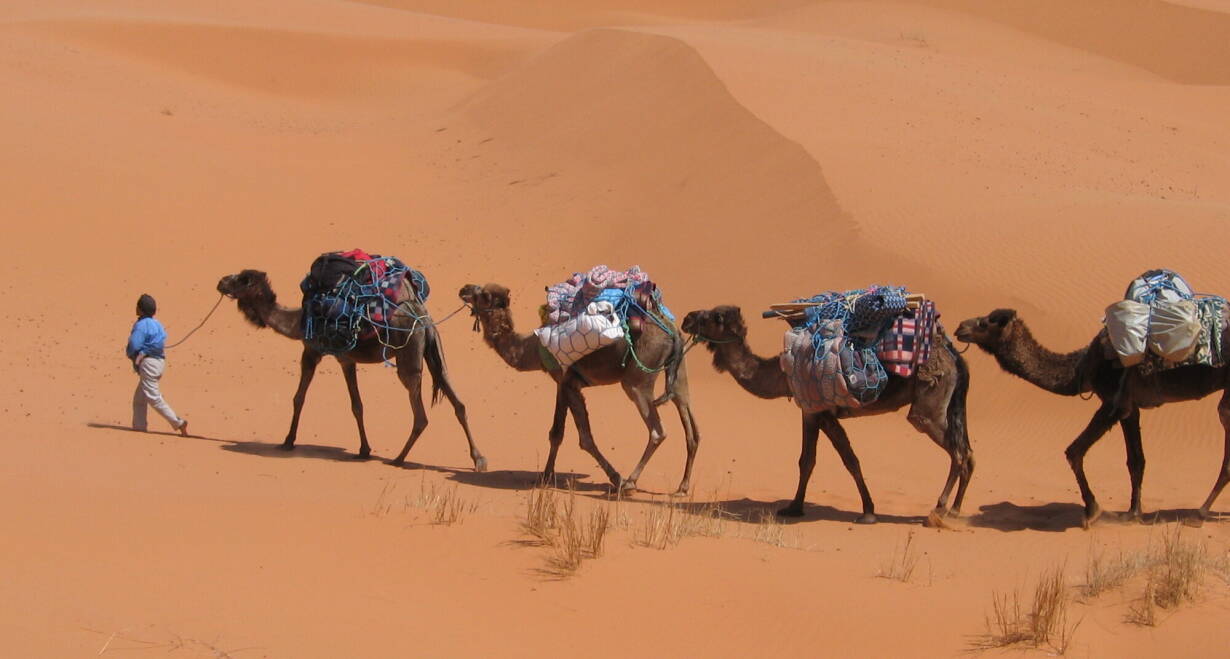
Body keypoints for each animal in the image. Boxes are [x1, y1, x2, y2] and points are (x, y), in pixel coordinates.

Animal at [218, 249, 487, 472]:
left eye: (241, 279)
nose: (220, 281)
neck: (297, 322)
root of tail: (424, 319)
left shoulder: (312, 351)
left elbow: (299, 398)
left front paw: (287, 441)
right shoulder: (346, 359)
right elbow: (357, 405)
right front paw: (364, 450)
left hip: (408, 355)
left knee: (420, 414)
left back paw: (398, 459)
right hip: (435, 351)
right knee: (458, 402)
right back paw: (479, 459)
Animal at [683, 284, 969, 526]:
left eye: (713, 317)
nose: (687, 318)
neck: (782, 373)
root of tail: (954, 357)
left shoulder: (823, 413)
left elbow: (849, 459)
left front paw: (868, 512)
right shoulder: (809, 411)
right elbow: (807, 460)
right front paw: (794, 507)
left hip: (928, 406)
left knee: (956, 452)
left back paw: (938, 510)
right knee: (966, 451)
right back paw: (954, 511)